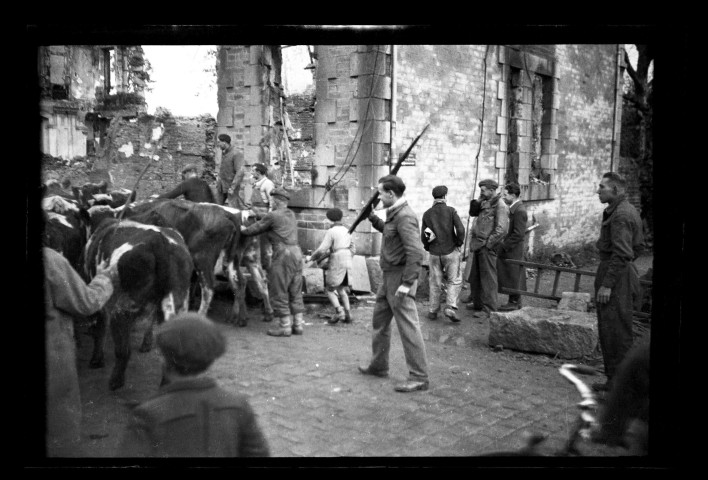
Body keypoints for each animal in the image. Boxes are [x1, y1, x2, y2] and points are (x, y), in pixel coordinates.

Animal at [84, 218, 192, 390]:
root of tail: (158, 241)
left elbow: (100, 328)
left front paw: (96, 360)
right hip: (177, 307)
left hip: (123, 308)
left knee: (123, 350)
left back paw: (116, 381)